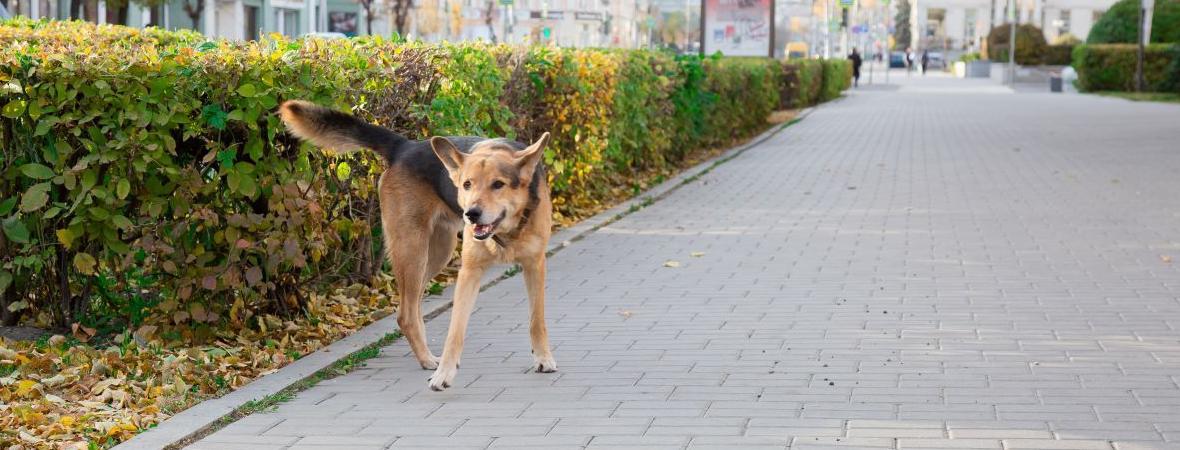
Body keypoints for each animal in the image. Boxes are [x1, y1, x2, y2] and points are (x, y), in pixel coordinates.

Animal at [278, 100, 554, 389]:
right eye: (467, 184)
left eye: (498, 184)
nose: (471, 214)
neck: (508, 228)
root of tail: (404, 146)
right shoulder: (469, 272)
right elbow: (455, 331)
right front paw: (444, 373)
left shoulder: (535, 265)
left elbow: (537, 320)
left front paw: (543, 358)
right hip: (412, 250)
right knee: (406, 314)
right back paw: (428, 360)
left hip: (435, 253)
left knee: (413, 307)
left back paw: (427, 356)